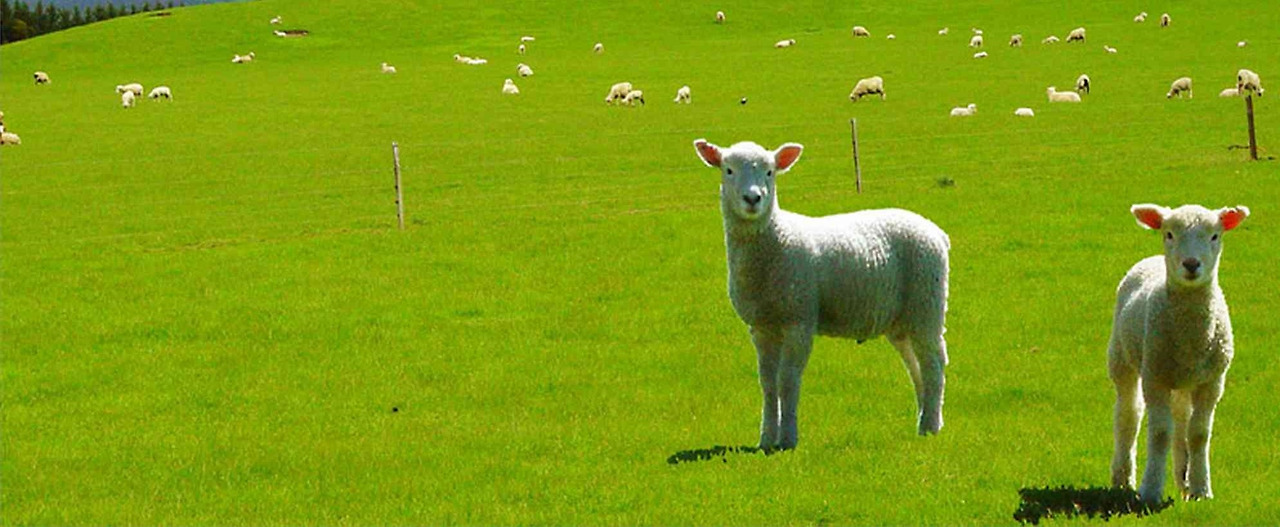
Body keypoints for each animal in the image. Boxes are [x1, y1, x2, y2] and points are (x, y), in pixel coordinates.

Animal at [691, 138, 951, 448]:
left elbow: (788, 381)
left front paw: (788, 439)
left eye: (770, 172)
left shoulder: (799, 319)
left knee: (934, 363)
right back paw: (926, 419)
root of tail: (935, 231)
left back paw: (930, 425)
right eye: (728, 170)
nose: (752, 199)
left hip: (927, 302)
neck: (775, 239)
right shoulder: (761, 327)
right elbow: (767, 383)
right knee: (916, 366)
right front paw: (766, 439)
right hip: (902, 319)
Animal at [1108, 204, 1250, 504]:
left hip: (1184, 380)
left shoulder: (1213, 382)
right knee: (1128, 415)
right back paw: (1123, 478)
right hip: (1122, 359)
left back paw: (1183, 479)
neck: (1191, 336)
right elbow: (1160, 432)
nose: (1191, 264)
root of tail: (1150, 259)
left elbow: (1198, 434)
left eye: (1215, 236)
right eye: (1169, 234)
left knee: (1181, 420)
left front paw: (1201, 489)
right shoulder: (1155, 377)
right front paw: (1150, 489)